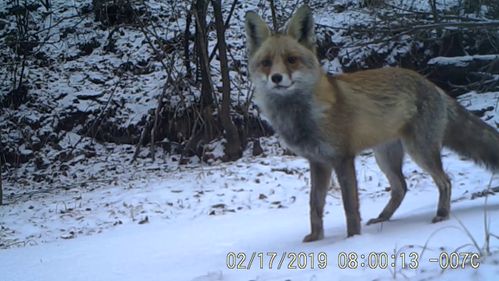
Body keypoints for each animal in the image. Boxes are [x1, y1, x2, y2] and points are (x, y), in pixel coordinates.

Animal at [245, 4, 499, 241]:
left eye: (291, 60)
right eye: (266, 63)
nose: (276, 78)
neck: (304, 116)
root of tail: (432, 84)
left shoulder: (342, 158)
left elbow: (350, 207)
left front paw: (352, 239)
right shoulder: (318, 162)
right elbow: (314, 207)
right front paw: (316, 239)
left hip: (419, 150)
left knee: (445, 181)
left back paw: (442, 214)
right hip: (385, 157)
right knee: (401, 187)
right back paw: (383, 218)